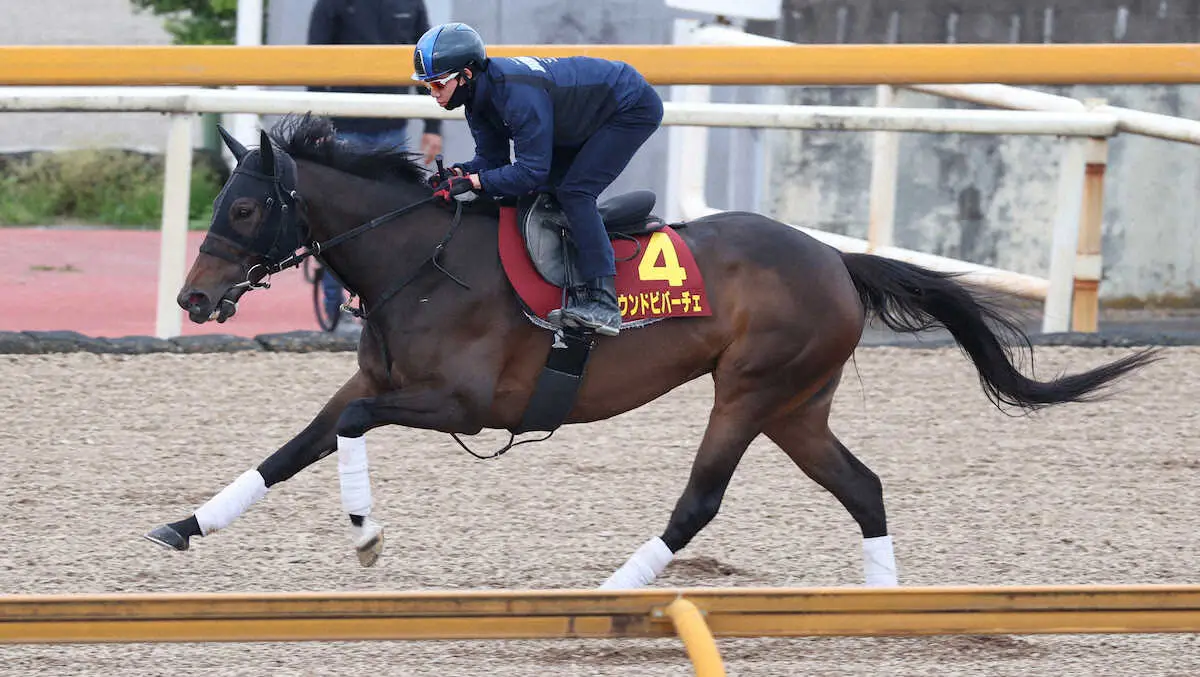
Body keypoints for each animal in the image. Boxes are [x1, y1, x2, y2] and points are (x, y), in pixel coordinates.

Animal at [142, 113, 1161, 590]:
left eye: (244, 207)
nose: (193, 298)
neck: (418, 257)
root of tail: (834, 256)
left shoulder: (460, 403)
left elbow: (348, 428)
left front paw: (365, 533)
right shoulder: (377, 377)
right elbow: (291, 449)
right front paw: (185, 525)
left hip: (747, 393)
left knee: (700, 501)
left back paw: (618, 584)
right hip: (797, 407)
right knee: (864, 486)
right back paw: (885, 601)